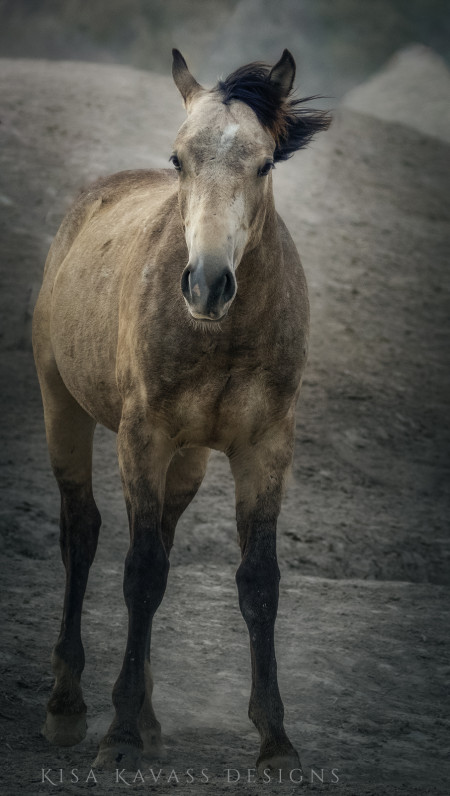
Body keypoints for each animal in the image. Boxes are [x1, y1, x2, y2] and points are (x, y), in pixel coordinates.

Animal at [32, 46, 330, 776]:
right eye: (179, 159)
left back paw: (147, 714)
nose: (207, 284)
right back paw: (69, 706)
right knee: (82, 534)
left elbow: (257, 580)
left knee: (159, 542)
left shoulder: (265, 447)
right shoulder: (143, 436)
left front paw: (276, 740)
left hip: (189, 460)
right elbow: (140, 573)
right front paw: (117, 737)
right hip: (64, 408)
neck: (223, 335)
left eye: (265, 163)